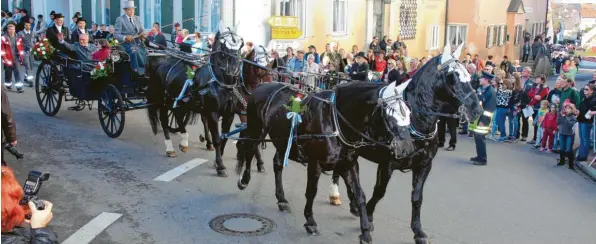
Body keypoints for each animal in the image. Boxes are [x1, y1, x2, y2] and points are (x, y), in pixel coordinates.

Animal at [235, 44, 482, 244]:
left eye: (469, 76)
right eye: (453, 76)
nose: (476, 108)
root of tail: (263, 87)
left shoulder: (422, 165)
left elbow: (414, 198)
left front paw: (417, 231)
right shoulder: (383, 163)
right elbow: (367, 192)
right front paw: (318, 221)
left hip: (284, 141)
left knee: (278, 162)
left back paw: (288, 198)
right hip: (257, 131)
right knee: (250, 150)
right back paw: (245, 179)